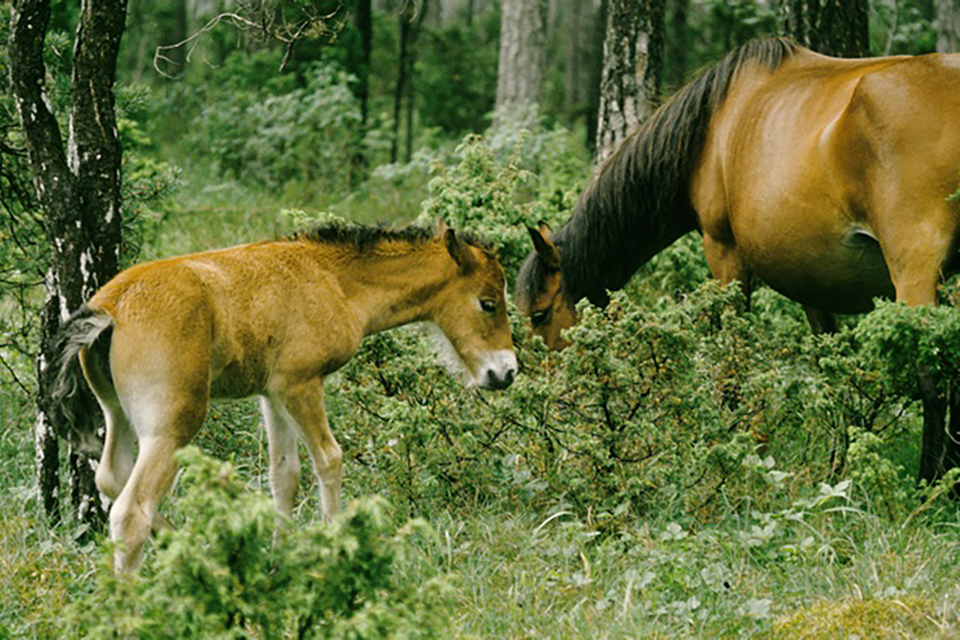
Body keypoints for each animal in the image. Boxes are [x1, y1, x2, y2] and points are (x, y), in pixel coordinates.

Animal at [52, 222, 516, 572]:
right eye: (488, 303)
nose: (506, 372)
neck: (335, 281)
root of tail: (111, 307)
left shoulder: (271, 394)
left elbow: (283, 474)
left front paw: (279, 554)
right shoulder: (301, 385)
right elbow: (329, 459)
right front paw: (334, 547)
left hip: (117, 414)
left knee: (111, 477)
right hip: (171, 427)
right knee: (131, 511)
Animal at [520, 38, 960, 484]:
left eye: (539, 314)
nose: (541, 402)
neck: (711, 129)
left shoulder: (723, 253)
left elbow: (732, 354)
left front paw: (737, 447)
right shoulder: (812, 280)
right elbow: (830, 365)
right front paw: (837, 460)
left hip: (914, 275)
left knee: (933, 379)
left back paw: (930, 480)